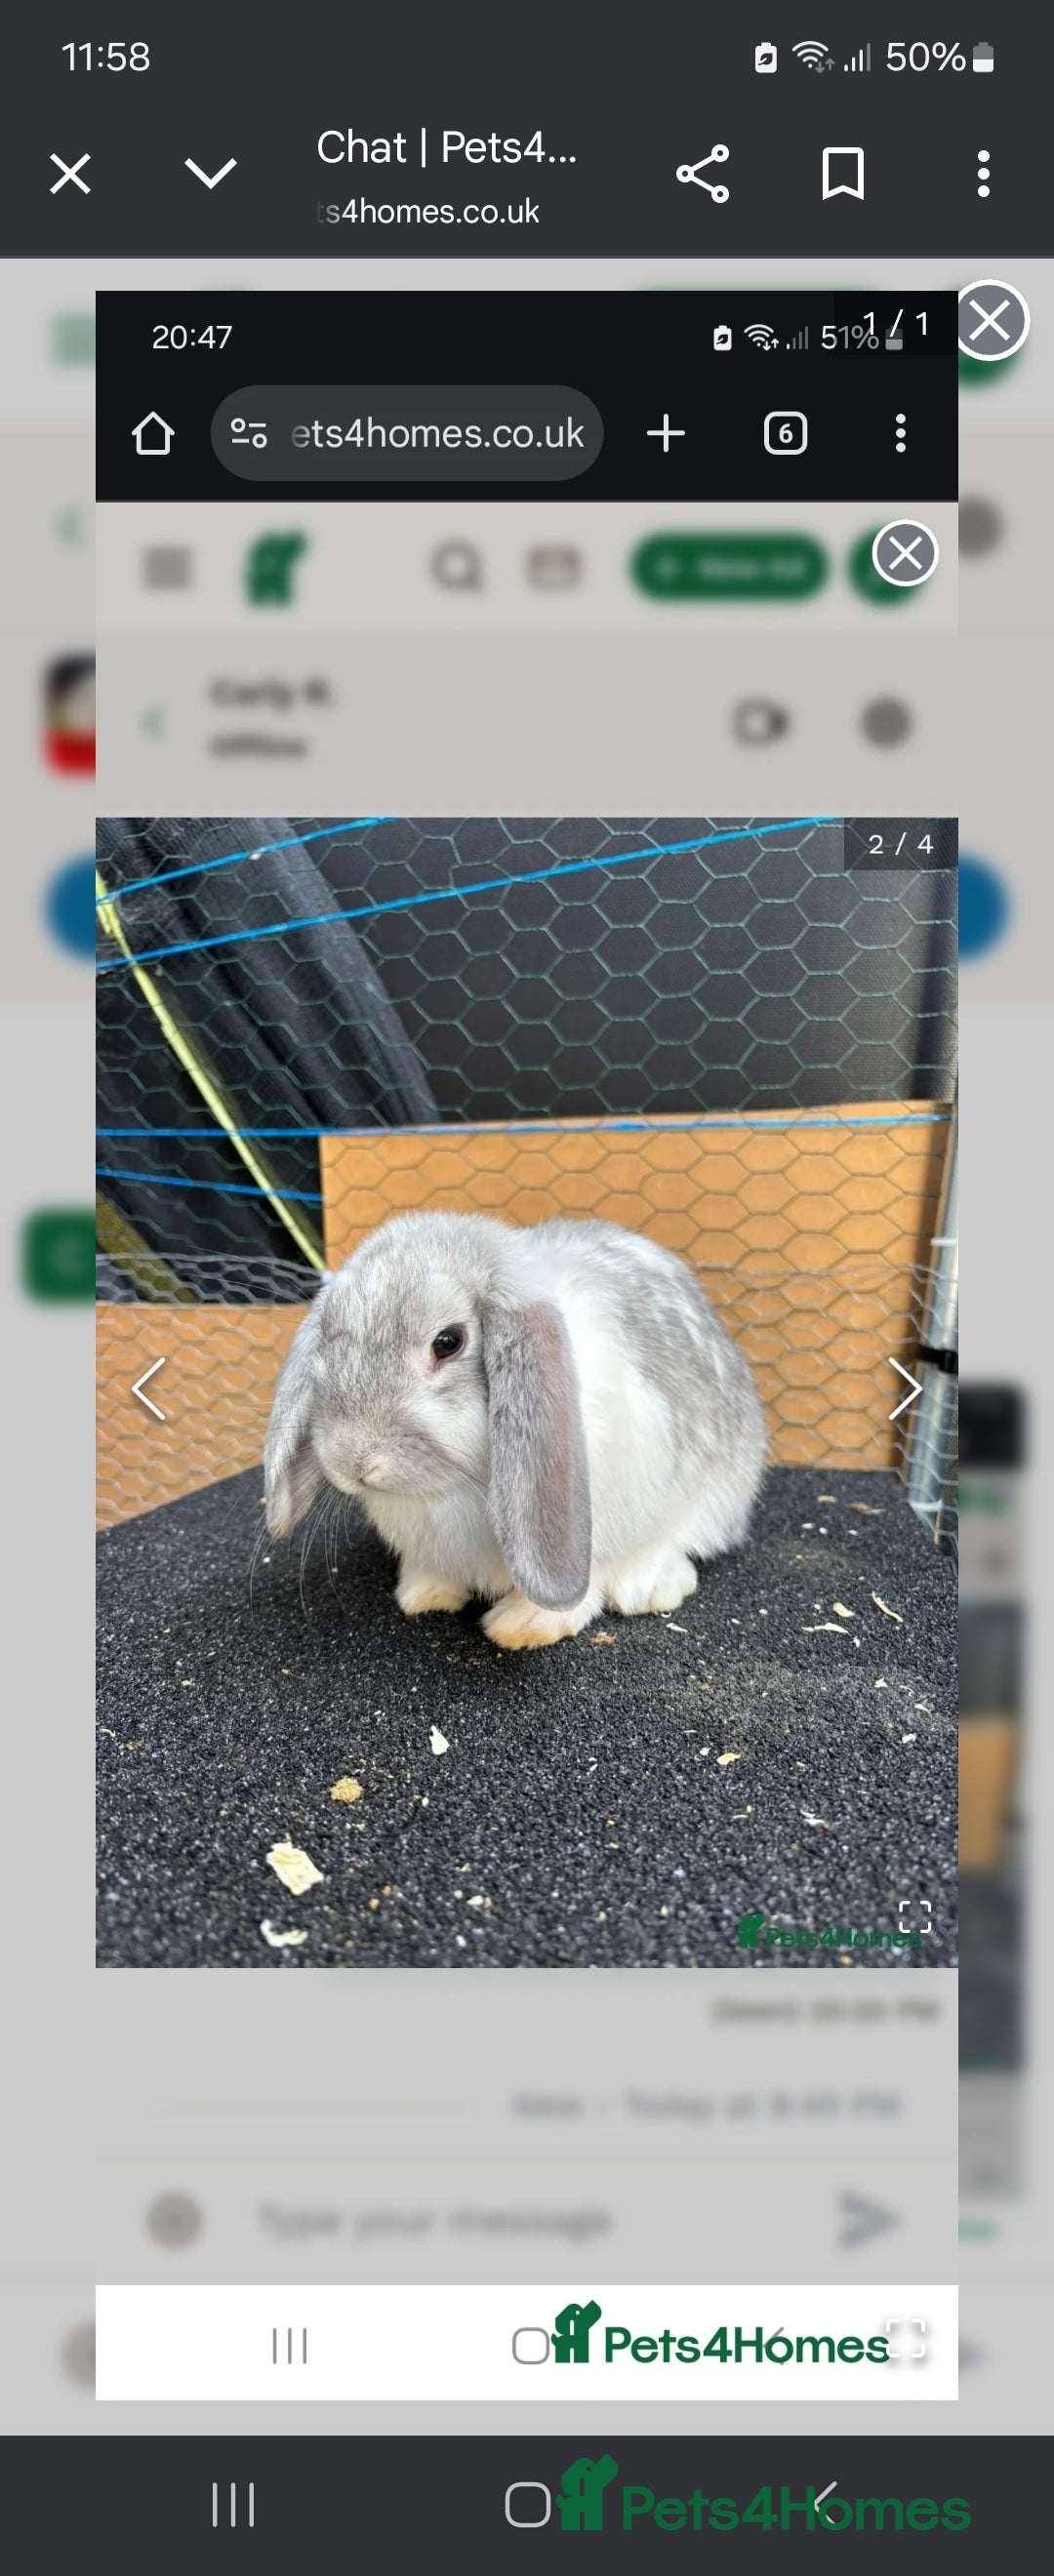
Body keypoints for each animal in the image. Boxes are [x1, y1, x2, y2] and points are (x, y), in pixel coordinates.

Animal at [263, 1211, 766, 1650]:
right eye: (327, 1340)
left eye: (448, 1342)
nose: (351, 1461)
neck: (452, 1490)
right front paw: (425, 1595)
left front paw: (523, 1627)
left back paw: (645, 1587)